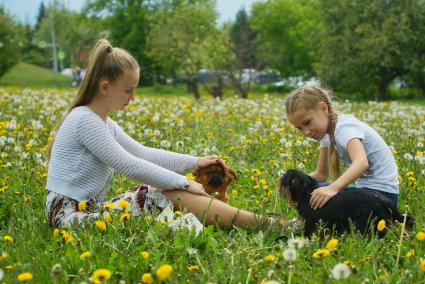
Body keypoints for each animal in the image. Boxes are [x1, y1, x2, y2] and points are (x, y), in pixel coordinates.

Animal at [278, 170, 414, 239]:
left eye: (292, 179)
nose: (284, 174)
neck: (307, 193)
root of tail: (387, 202)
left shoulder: (311, 223)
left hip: (369, 224)